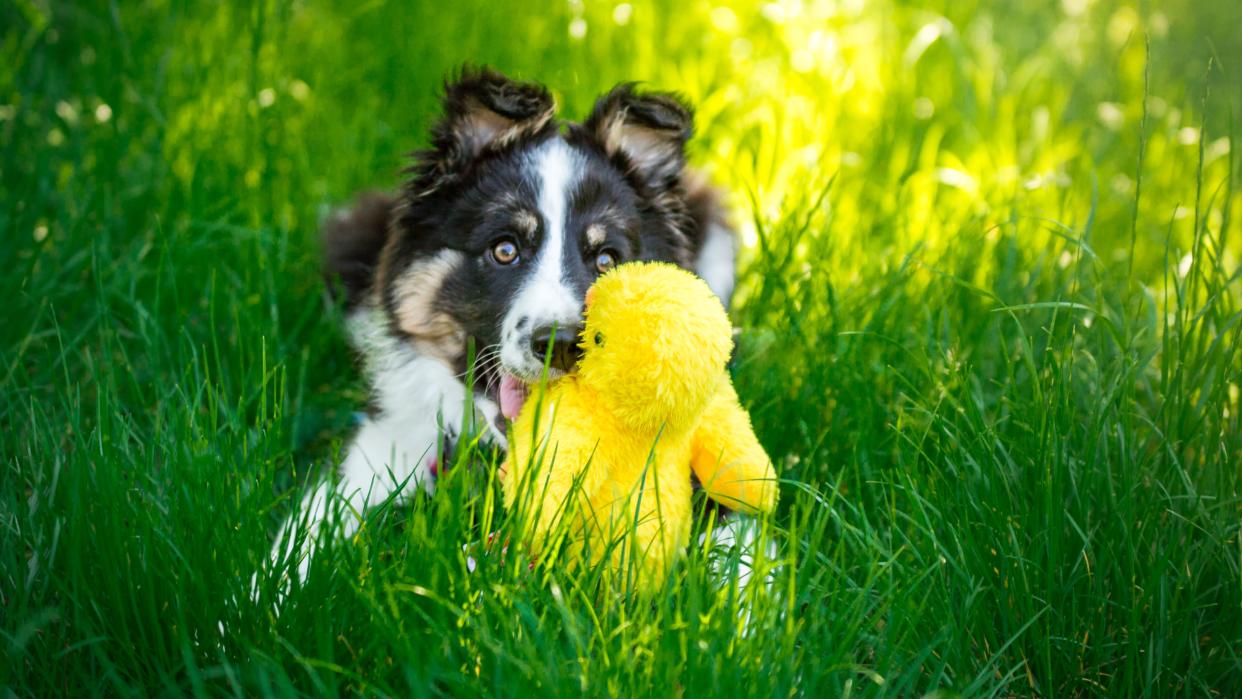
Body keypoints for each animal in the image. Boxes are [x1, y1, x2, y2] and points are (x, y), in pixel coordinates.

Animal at [271, 68, 735, 583]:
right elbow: (320, 515)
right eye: (505, 249)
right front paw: (264, 590)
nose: (558, 344)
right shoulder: (389, 441)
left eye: (607, 260)